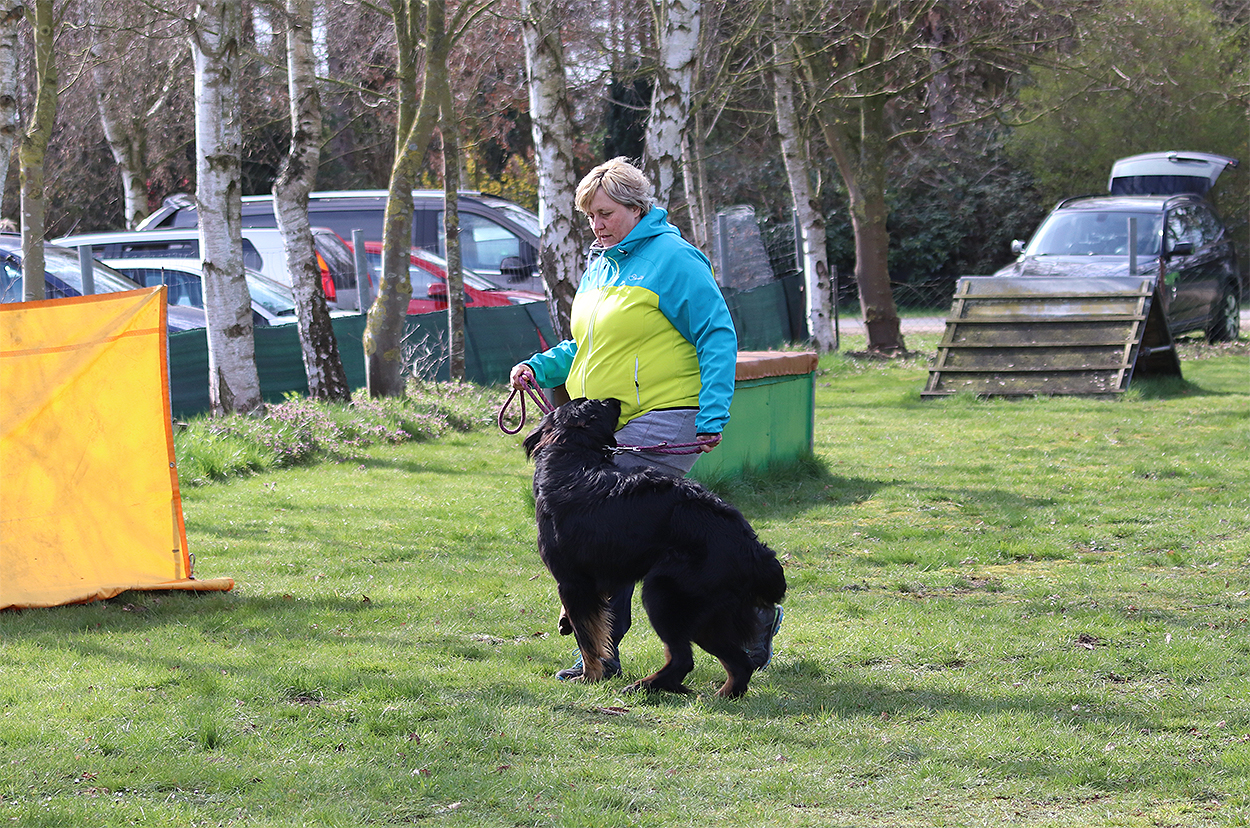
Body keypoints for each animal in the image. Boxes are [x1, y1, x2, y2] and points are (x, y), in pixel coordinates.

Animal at [523, 397, 786, 698]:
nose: (615, 400)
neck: (572, 453)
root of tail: (754, 550)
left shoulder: (573, 582)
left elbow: (588, 639)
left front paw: (590, 676)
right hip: (709, 615)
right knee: (738, 664)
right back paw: (719, 695)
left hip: (663, 595)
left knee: (684, 659)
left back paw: (644, 687)